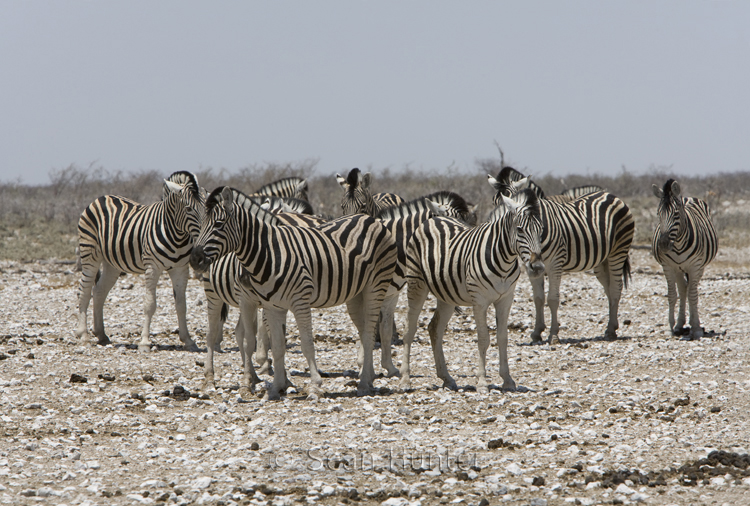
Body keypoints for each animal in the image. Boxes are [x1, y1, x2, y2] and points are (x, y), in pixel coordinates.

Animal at [76, 171, 205, 351]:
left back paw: (101, 334)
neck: (177, 235)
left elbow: (181, 305)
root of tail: (101, 197)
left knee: (99, 291)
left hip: (112, 264)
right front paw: (144, 342)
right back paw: (84, 335)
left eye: (207, 206)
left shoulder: (180, 269)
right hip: (90, 254)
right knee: (85, 290)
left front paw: (188, 340)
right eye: (188, 209)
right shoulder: (152, 267)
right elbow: (150, 304)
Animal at [190, 187, 397, 400]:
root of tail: (371, 219)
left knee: (369, 331)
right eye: (200, 224)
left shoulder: (299, 301)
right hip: (356, 294)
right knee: (365, 331)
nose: (194, 259)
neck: (268, 254)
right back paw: (369, 378)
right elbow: (277, 346)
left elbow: (306, 343)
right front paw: (275, 388)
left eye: (218, 224)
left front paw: (314, 386)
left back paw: (364, 382)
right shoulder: (271, 305)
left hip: (375, 286)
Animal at [400, 189, 544, 393]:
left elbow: (502, 338)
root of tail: (434, 219)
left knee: (434, 328)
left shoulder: (506, 299)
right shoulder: (480, 301)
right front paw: (482, 381)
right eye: (520, 230)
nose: (538, 267)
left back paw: (446, 378)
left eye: (541, 230)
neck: (504, 260)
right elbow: (483, 338)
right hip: (416, 284)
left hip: (447, 295)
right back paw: (405, 379)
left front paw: (508, 380)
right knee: (409, 329)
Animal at [489, 169, 634, 343]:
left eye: (510, 198)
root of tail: (611, 195)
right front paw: (537, 332)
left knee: (616, 288)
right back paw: (612, 326)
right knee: (609, 288)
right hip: (601, 260)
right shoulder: (532, 268)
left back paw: (611, 331)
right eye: (493, 200)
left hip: (618, 251)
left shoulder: (554, 264)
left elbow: (552, 299)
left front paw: (553, 335)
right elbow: (538, 298)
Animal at [652, 179, 718, 339]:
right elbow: (672, 295)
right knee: (683, 289)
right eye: (658, 214)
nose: (663, 244)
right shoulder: (668, 267)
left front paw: (696, 328)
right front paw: (671, 327)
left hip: (700, 267)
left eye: (676, 214)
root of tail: (686, 197)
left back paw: (693, 323)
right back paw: (679, 324)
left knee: (690, 291)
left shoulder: (695, 266)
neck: (678, 245)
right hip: (679, 268)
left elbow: (693, 296)